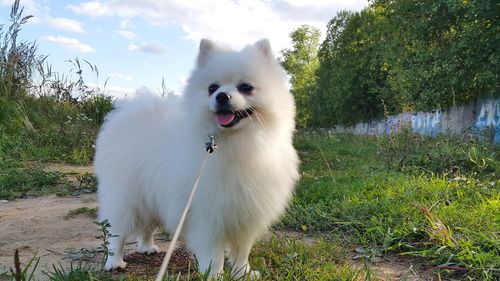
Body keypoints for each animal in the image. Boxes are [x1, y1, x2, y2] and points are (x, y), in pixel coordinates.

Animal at [94, 38, 298, 276]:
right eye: (212, 88)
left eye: (246, 88)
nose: (222, 96)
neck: (237, 144)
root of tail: (127, 116)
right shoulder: (207, 217)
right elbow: (213, 255)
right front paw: (215, 276)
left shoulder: (245, 215)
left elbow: (241, 252)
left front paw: (242, 273)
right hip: (128, 199)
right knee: (117, 232)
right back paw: (114, 261)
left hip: (152, 197)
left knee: (147, 227)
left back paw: (147, 247)